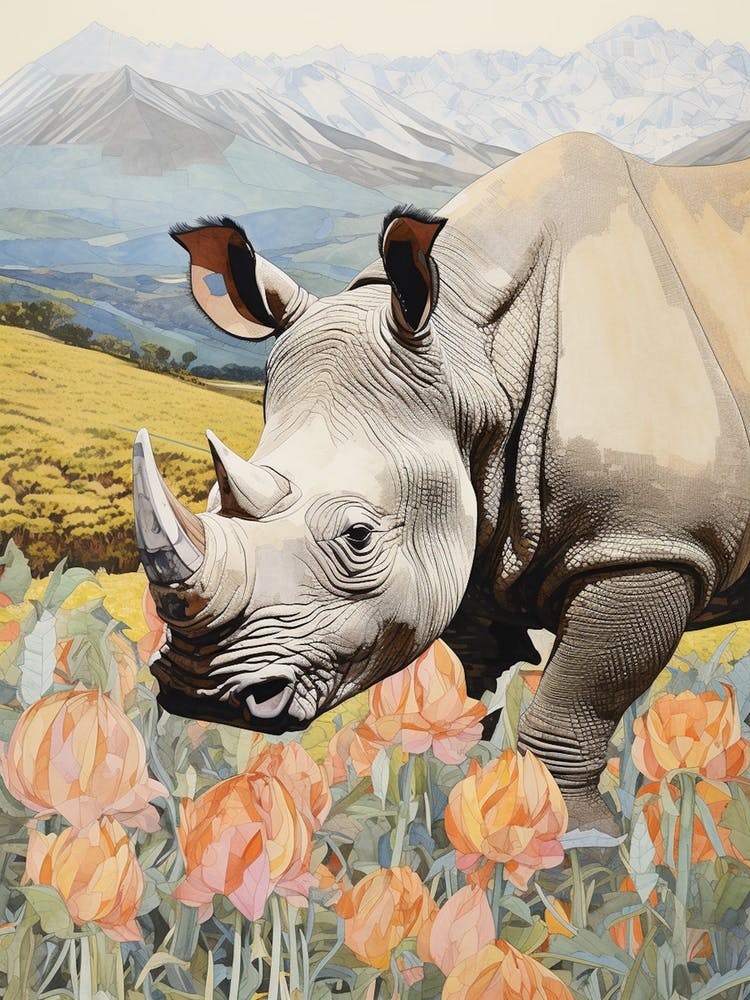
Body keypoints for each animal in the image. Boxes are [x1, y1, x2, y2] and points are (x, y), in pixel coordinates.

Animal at [133, 133, 750, 832]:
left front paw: (578, 839)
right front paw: (471, 786)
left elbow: (578, 700)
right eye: (211, 500)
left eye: (358, 536)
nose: (199, 693)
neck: (474, 350)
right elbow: (476, 677)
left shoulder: (649, 544)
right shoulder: (471, 529)